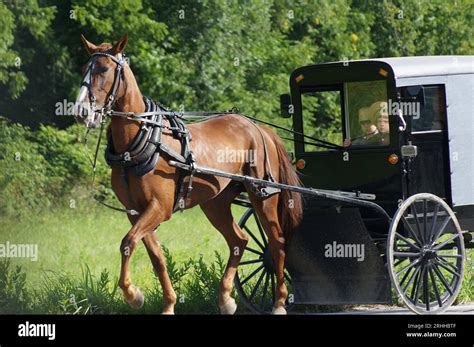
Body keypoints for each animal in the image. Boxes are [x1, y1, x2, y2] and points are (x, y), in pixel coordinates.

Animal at [74, 34, 304, 316]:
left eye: (104, 69)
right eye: (85, 68)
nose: (81, 110)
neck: (142, 140)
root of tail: (259, 129)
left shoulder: (159, 207)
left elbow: (127, 242)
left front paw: (132, 295)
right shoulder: (135, 211)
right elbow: (156, 257)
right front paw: (167, 304)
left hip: (263, 196)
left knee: (277, 242)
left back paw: (279, 302)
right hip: (215, 203)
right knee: (238, 240)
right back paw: (225, 299)